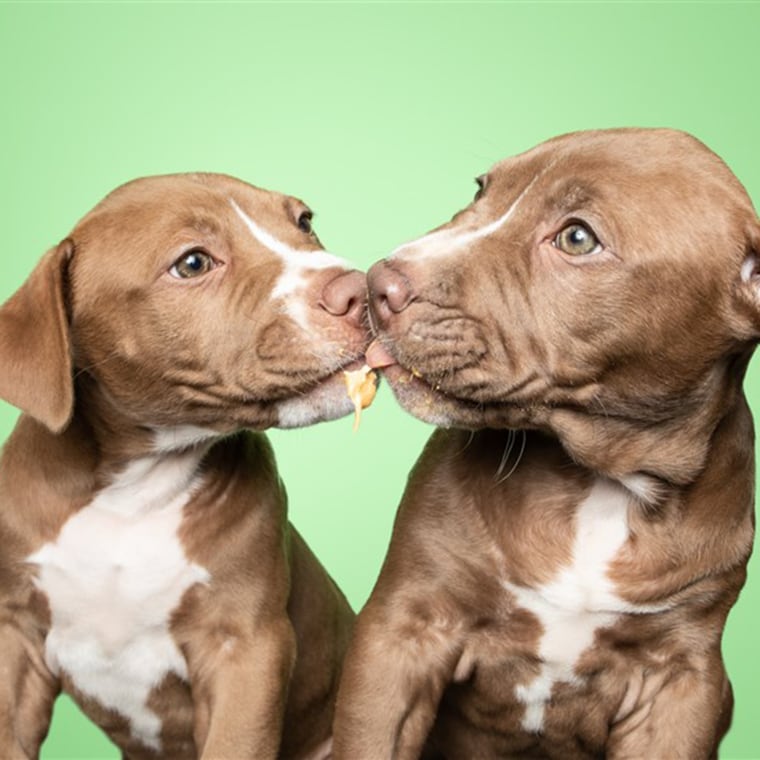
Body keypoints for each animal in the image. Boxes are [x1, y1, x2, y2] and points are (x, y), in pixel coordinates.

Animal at [0, 174, 368, 760]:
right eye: (193, 264)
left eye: (305, 221)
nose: (363, 289)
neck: (132, 489)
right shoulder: (15, 641)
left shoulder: (245, 649)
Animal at [334, 127, 760, 756]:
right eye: (481, 189)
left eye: (577, 238)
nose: (376, 282)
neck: (602, 482)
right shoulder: (403, 632)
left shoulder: (682, 680)